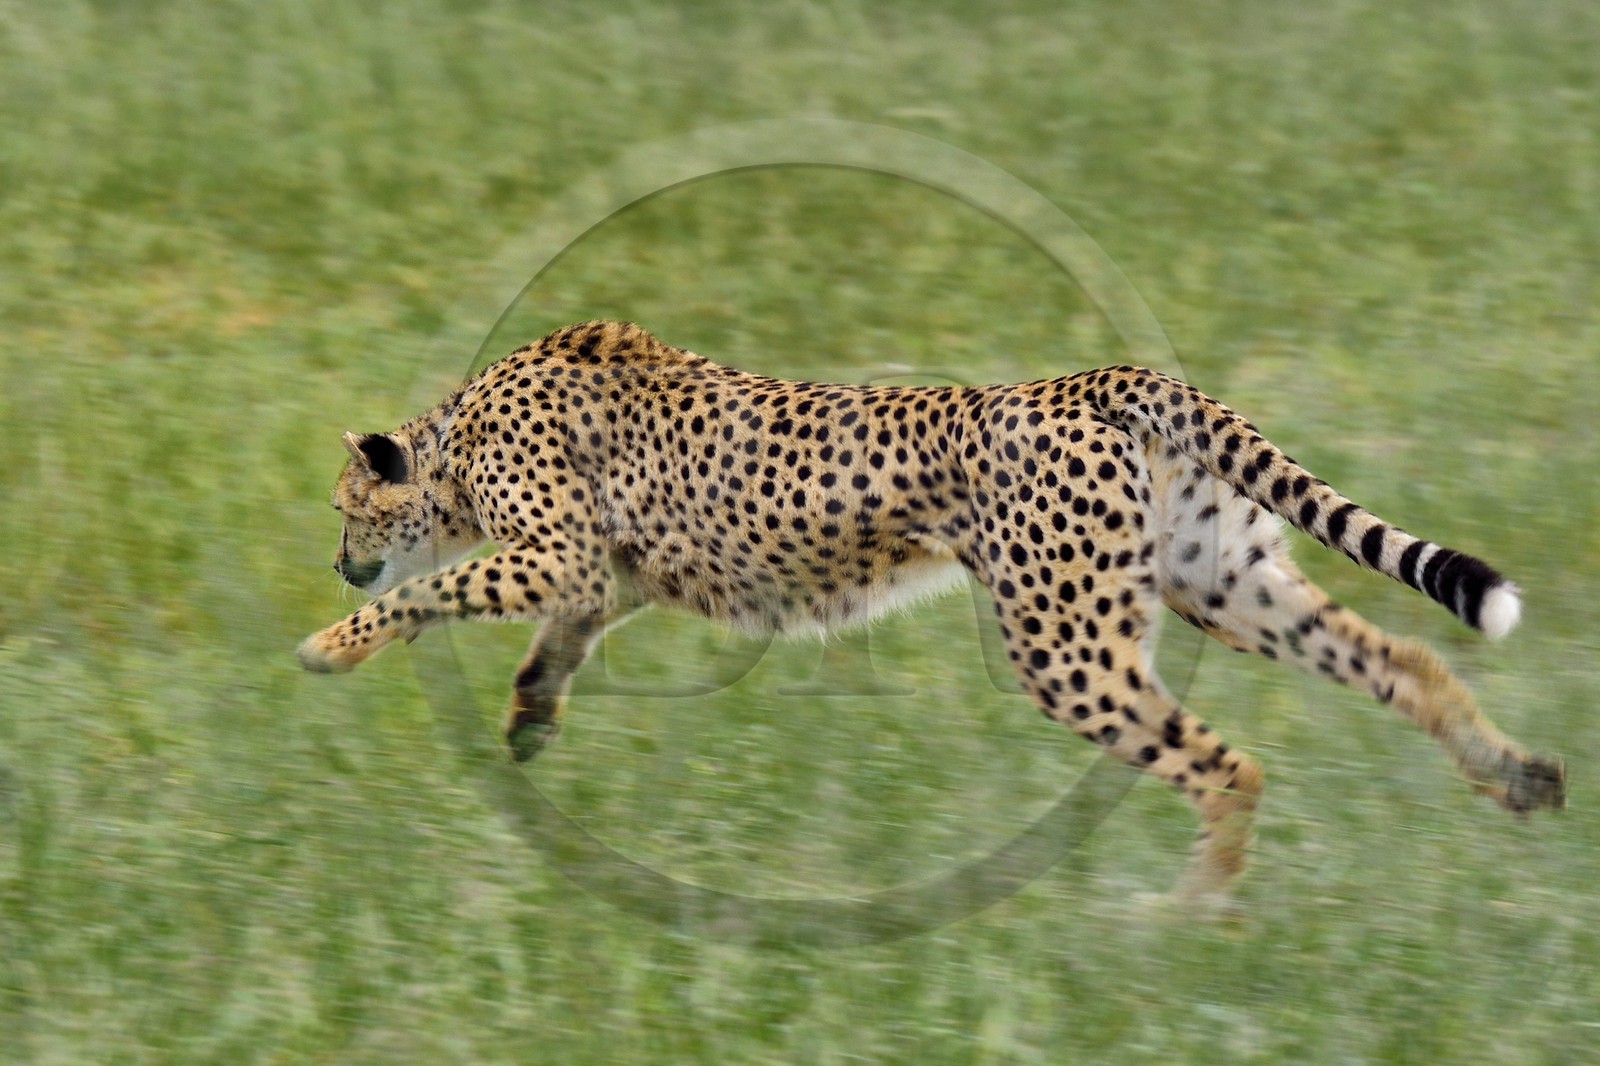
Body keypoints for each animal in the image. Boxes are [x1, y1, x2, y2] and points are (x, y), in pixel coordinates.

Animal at [298, 320, 1565, 902]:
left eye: (344, 505)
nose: (340, 565)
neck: (458, 432)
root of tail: (1107, 376)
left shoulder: (555, 551)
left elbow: (438, 590)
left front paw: (327, 646)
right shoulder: (598, 575)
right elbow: (549, 642)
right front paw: (527, 721)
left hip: (1064, 641)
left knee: (1229, 763)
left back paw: (1187, 921)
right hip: (1226, 585)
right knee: (1405, 662)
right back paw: (1517, 775)